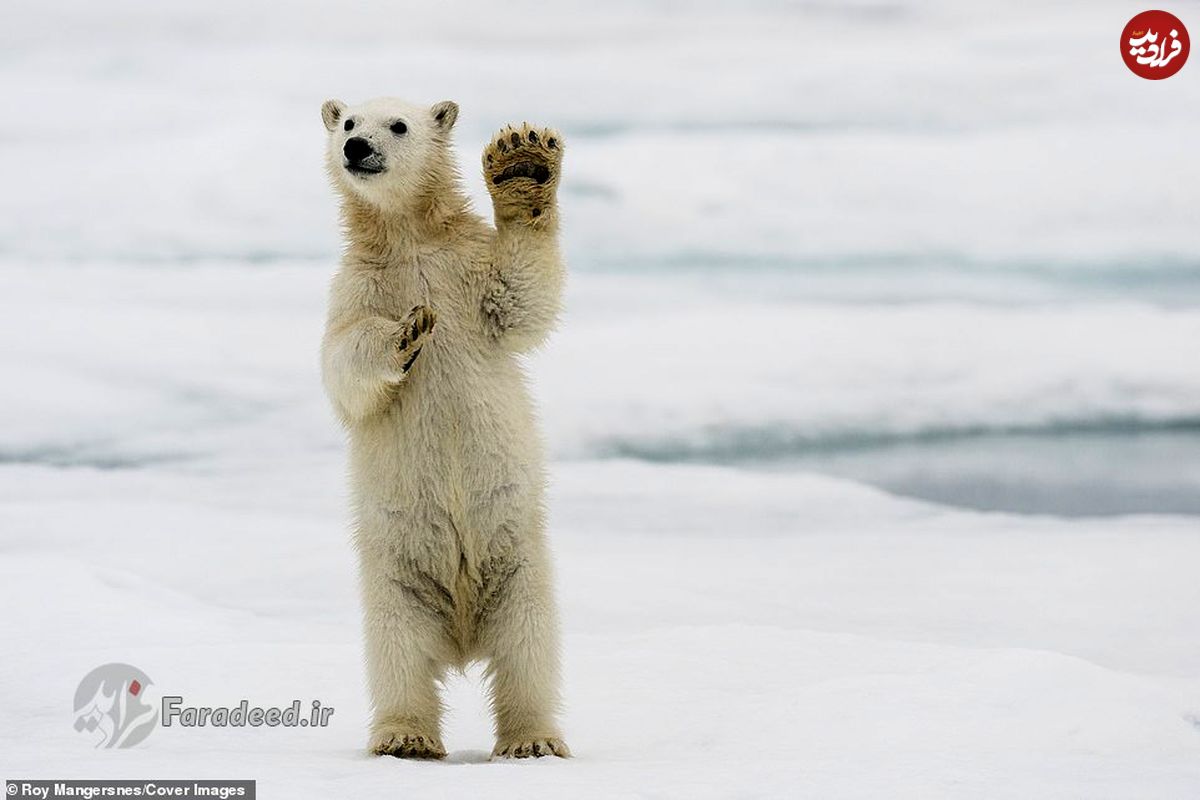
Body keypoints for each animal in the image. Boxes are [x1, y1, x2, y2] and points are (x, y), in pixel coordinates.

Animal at [321, 97, 568, 762]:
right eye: (347, 122)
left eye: (398, 124)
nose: (356, 148)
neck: (409, 241)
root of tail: (461, 636)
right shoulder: (354, 286)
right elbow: (344, 364)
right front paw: (405, 332)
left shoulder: (468, 271)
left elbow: (519, 299)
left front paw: (522, 163)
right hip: (394, 576)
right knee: (398, 654)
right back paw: (405, 736)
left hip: (519, 564)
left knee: (528, 649)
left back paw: (532, 739)